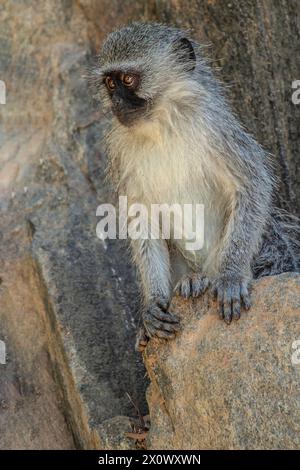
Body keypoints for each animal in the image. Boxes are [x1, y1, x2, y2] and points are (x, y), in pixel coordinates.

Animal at [90, 23, 298, 350]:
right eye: (110, 83)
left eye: (128, 80)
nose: (117, 104)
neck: (160, 126)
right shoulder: (119, 151)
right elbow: (140, 217)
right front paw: (153, 302)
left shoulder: (214, 126)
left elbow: (252, 184)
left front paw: (230, 276)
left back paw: (207, 278)